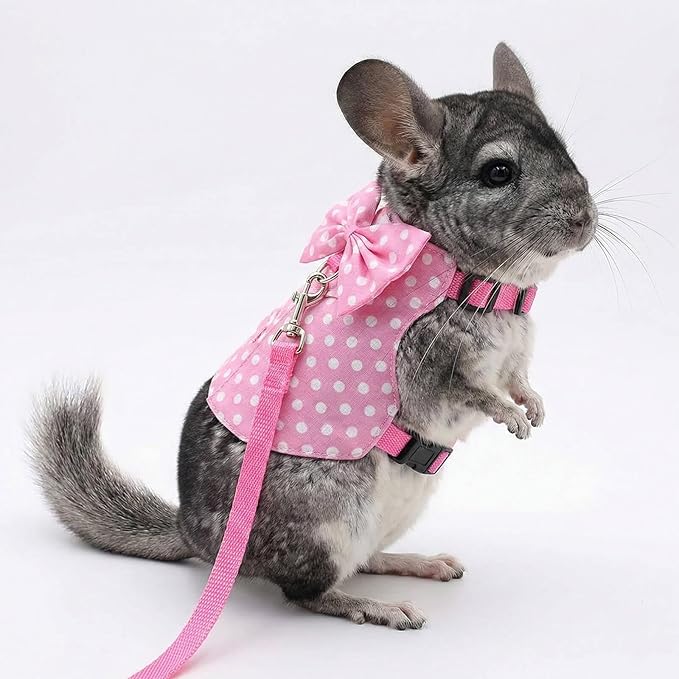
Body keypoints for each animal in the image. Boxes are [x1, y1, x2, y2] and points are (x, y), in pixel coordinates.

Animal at [29, 43, 596, 630]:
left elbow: (520, 380)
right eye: (498, 171)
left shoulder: (515, 355)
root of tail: (195, 534)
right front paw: (513, 418)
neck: (491, 291)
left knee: (364, 561)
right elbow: (477, 391)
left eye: (565, 150)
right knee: (306, 593)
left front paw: (535, 408)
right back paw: (384, 609)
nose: (585, 220)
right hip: (330, 522)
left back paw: (424, 562)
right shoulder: (431, 366)